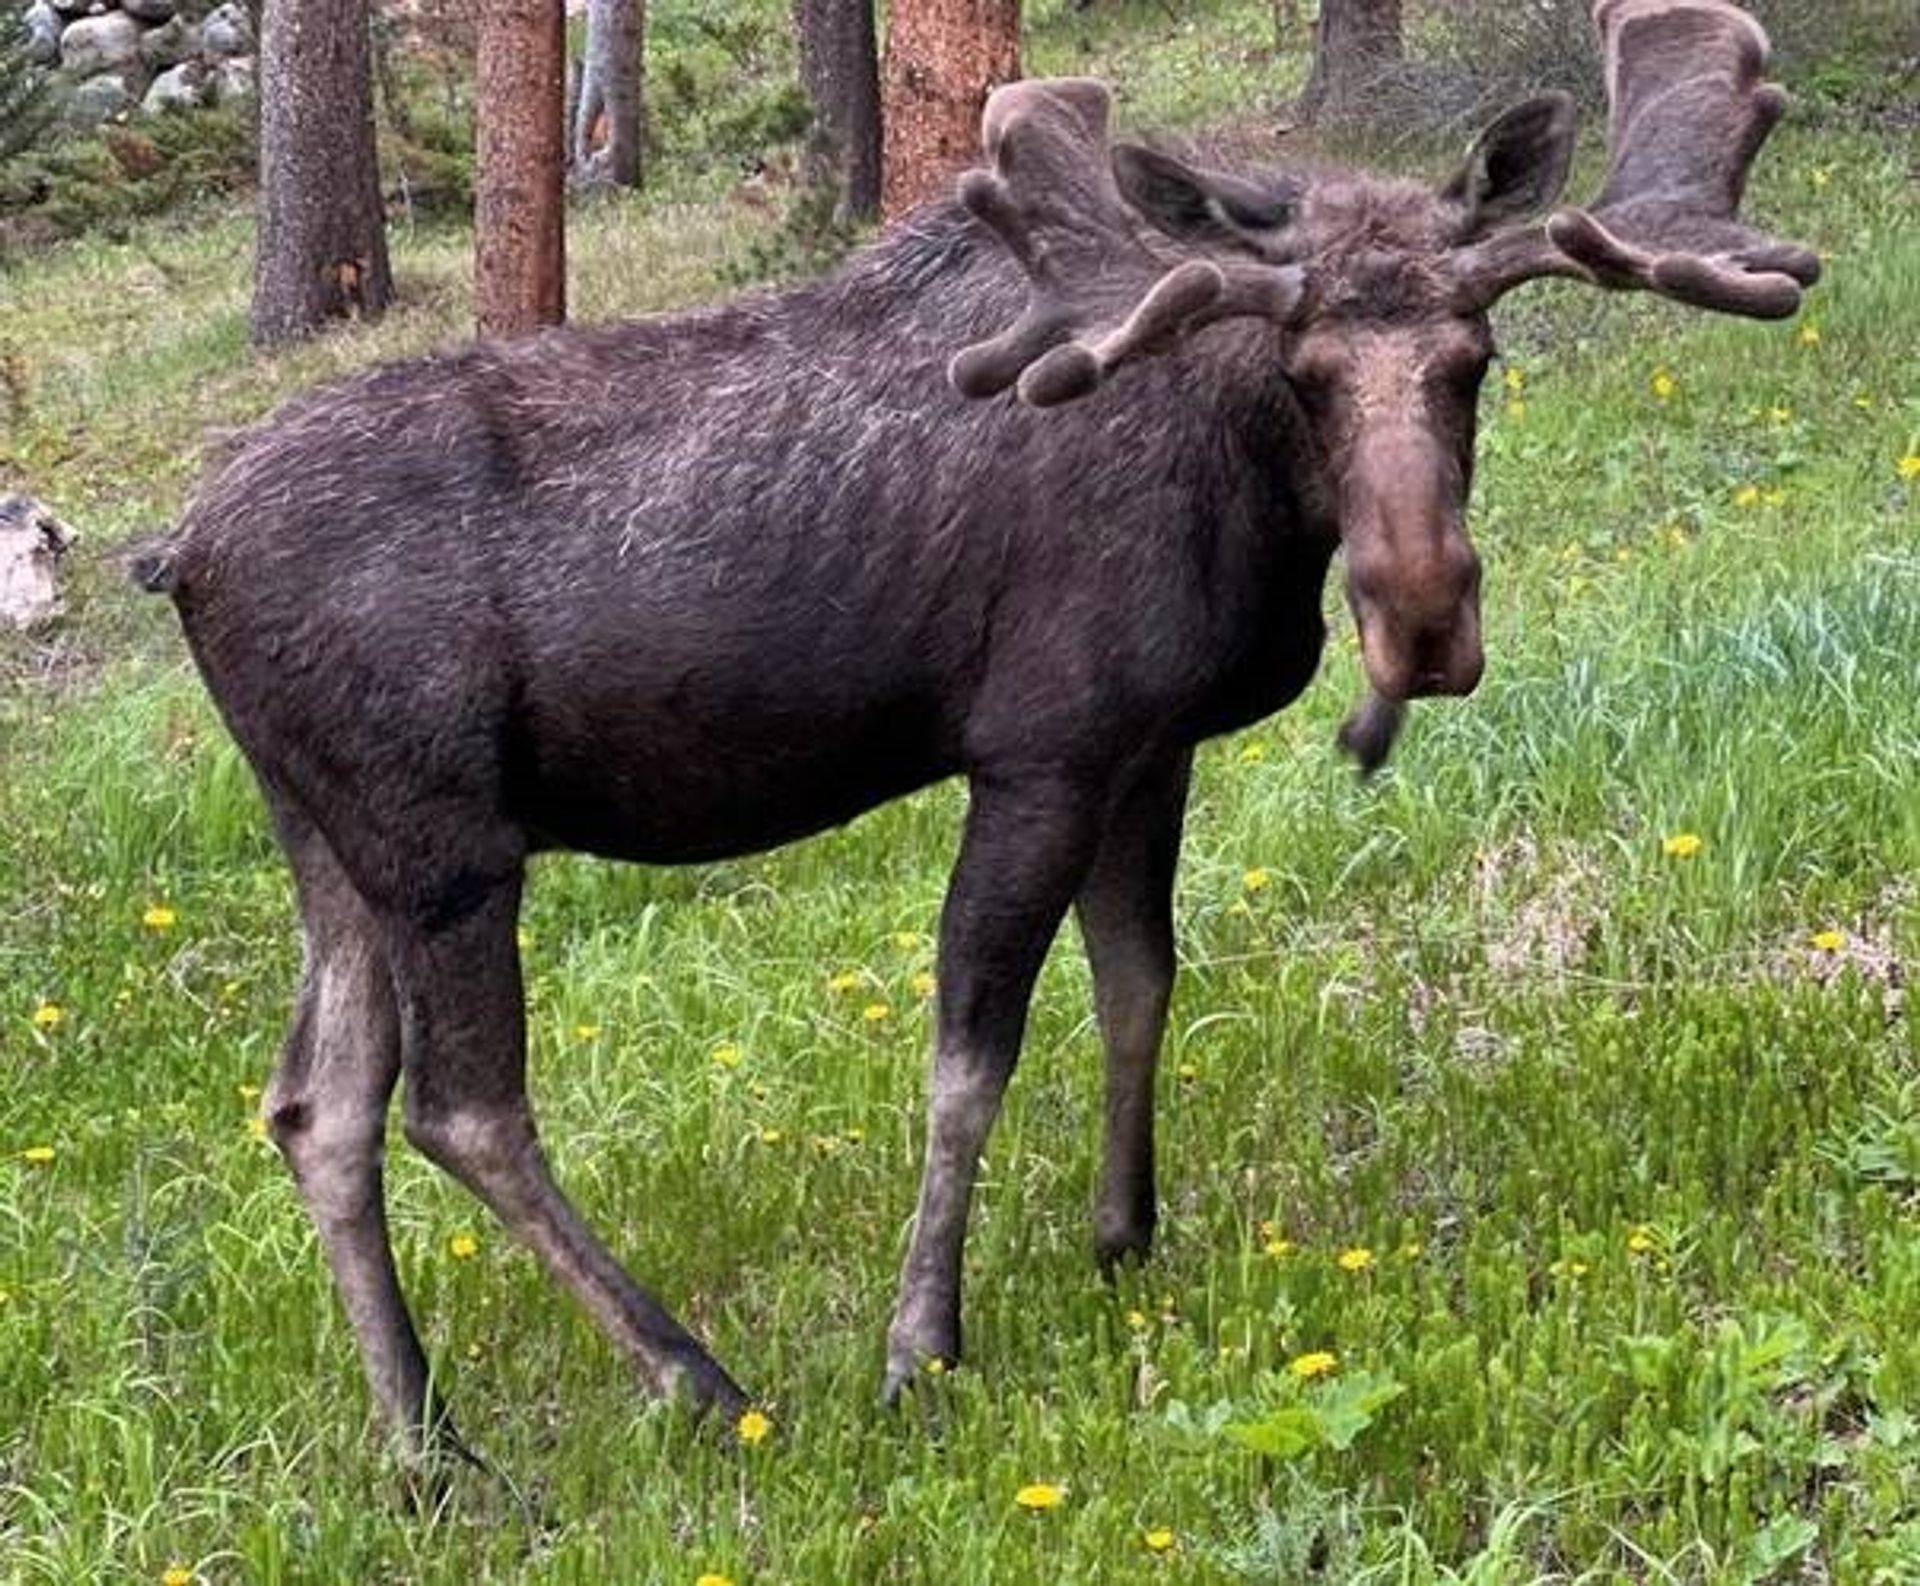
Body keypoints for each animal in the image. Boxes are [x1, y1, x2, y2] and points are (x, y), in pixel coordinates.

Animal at [135, 3, 1812, 1459]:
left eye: (1473, 360)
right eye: (1309, 371)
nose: (1422, 618)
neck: (1247, 483)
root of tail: (180, 554)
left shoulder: (1150, 747)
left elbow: (1141, 981)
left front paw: (1126, 1233)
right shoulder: (1042, 746)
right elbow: (971, 1049)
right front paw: (919, 1343)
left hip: (330, 841)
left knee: (316, 1108)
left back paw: (427, 1442)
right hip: (447, 843)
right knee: (463, 1108)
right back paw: (689, 1372)